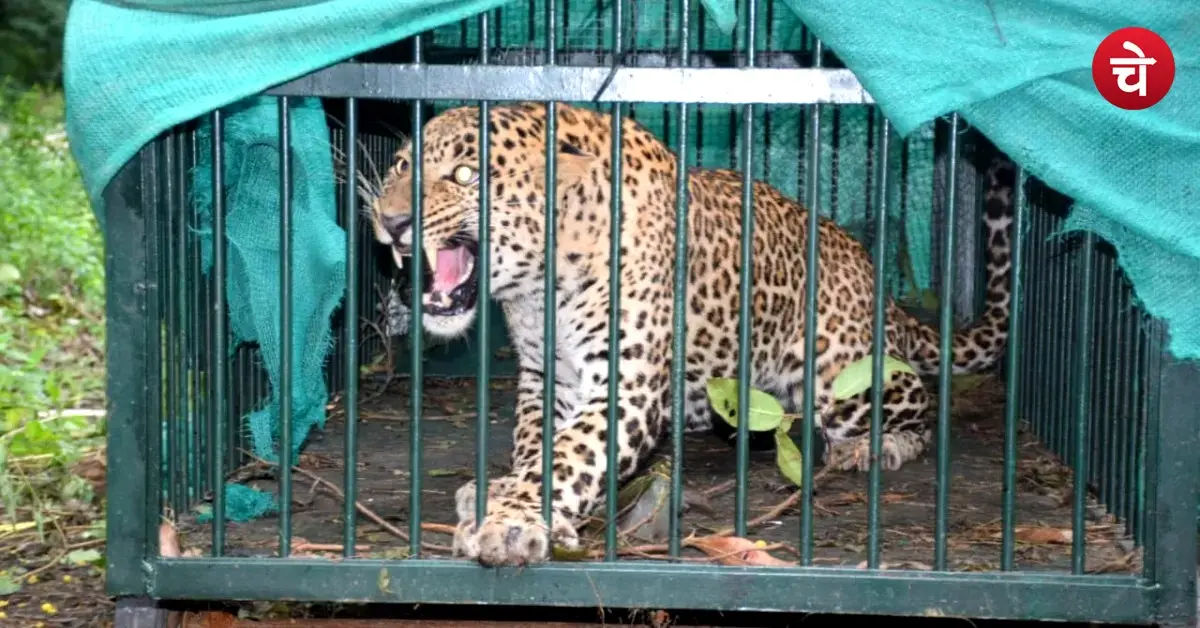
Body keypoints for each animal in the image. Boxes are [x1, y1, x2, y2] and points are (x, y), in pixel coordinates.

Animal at [366, 101, 1015, 568]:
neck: (541, 285)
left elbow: (570, 455)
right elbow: (538, 443)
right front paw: (501, 492)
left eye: (464, 174)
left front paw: (513, 521)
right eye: (401, 166)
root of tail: (868, 269)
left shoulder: (625, 387)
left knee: (918, 400)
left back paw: (880, 446)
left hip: (838, 375)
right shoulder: (546, 374)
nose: (390, 221)